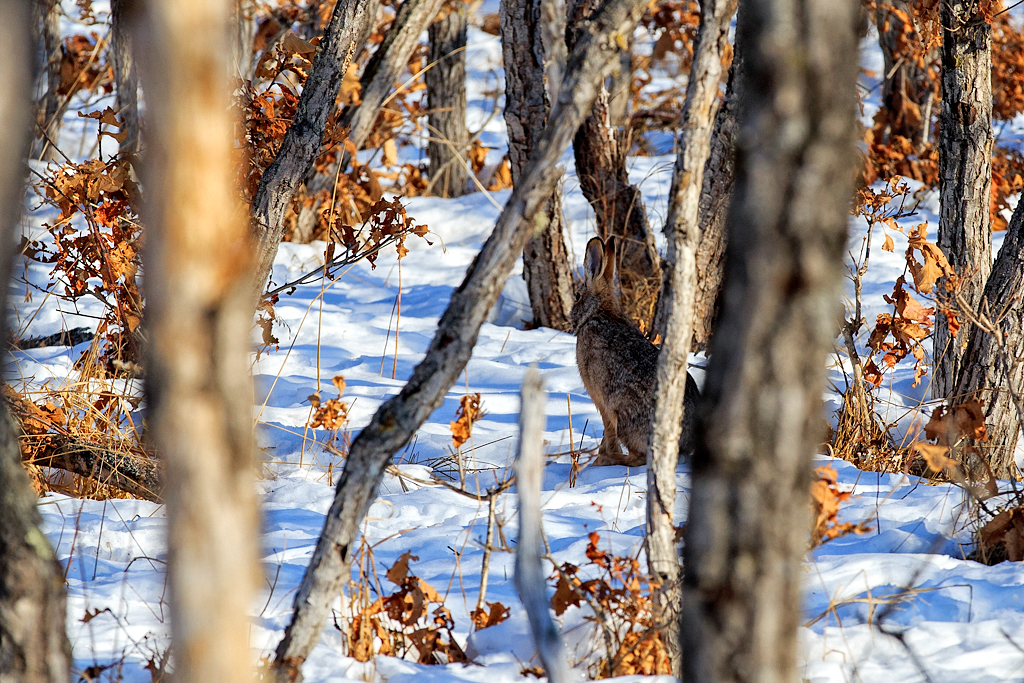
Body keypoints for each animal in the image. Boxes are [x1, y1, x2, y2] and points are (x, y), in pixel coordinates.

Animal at [573, 236, 700, 471]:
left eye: (577, 296)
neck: (598, 313)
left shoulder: (601, 400)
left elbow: (608, 430)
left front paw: (603, 455)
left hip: (626, 418)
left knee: (639, 458)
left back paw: (608, 460)